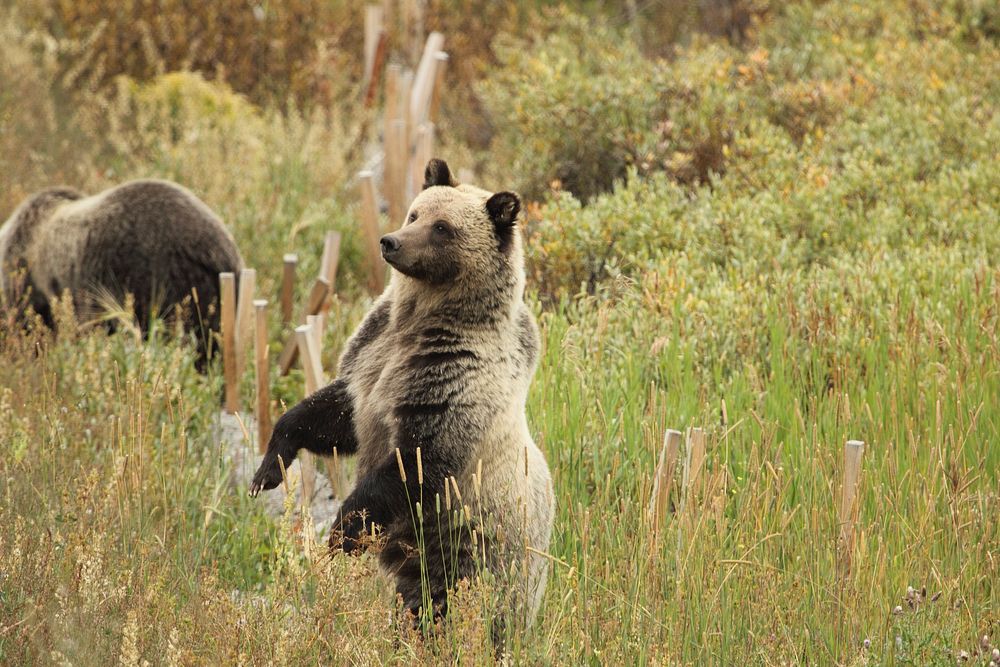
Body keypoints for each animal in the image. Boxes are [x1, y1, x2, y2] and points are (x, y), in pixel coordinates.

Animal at [246, 158, 552, 640]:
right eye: (415, 213)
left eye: (443, 227)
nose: (390, 241)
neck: (421, 321)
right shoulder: (373, 357)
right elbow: (333, 414)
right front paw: (269, 469)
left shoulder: (451, 384)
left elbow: (413, 465)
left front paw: (341, 533)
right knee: (415, 601)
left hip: (478, 552)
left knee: (464, 610)